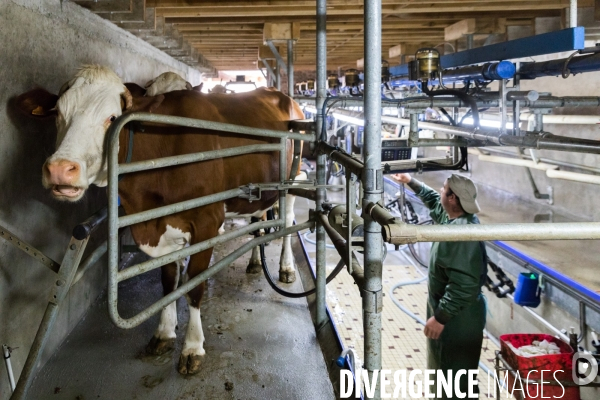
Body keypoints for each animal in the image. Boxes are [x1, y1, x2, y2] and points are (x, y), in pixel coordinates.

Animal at [16, 63, 308, 376]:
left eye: (112, 118)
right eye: (59, 113)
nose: (60, 169)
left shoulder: (206, 222)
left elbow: (194, 286)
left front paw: (192, 347)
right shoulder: (158, 224)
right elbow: (168, 281)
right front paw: (165, 332)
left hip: (292, 179)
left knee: (289, 222)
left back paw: (286, 268)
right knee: (259, 220)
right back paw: (254, 261)